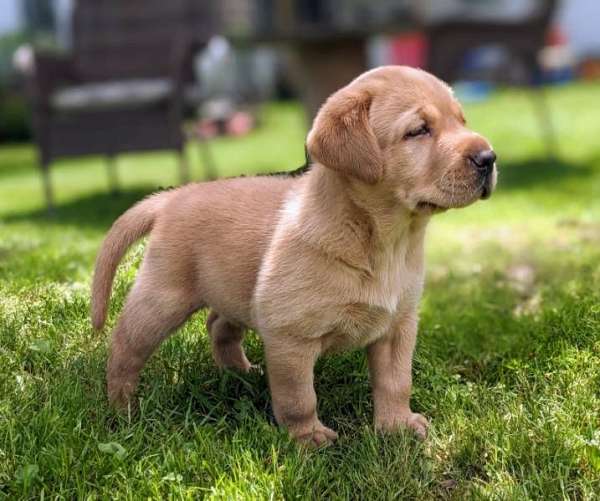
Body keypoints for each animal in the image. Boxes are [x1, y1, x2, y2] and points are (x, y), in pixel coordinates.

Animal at [92, 65, 496, 446]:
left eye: (461, 121)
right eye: (418, 131)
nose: (489, 158)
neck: (385, 242)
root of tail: (172, 196)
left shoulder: (399, 326)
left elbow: (396, 382)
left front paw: (396, 426)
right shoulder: (290, 337)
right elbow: (298, 398)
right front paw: (307, 440)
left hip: (233, 288)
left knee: (218, 325)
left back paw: (239, 374)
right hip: (163, 298)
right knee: (124, 346)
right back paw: (122, 409)